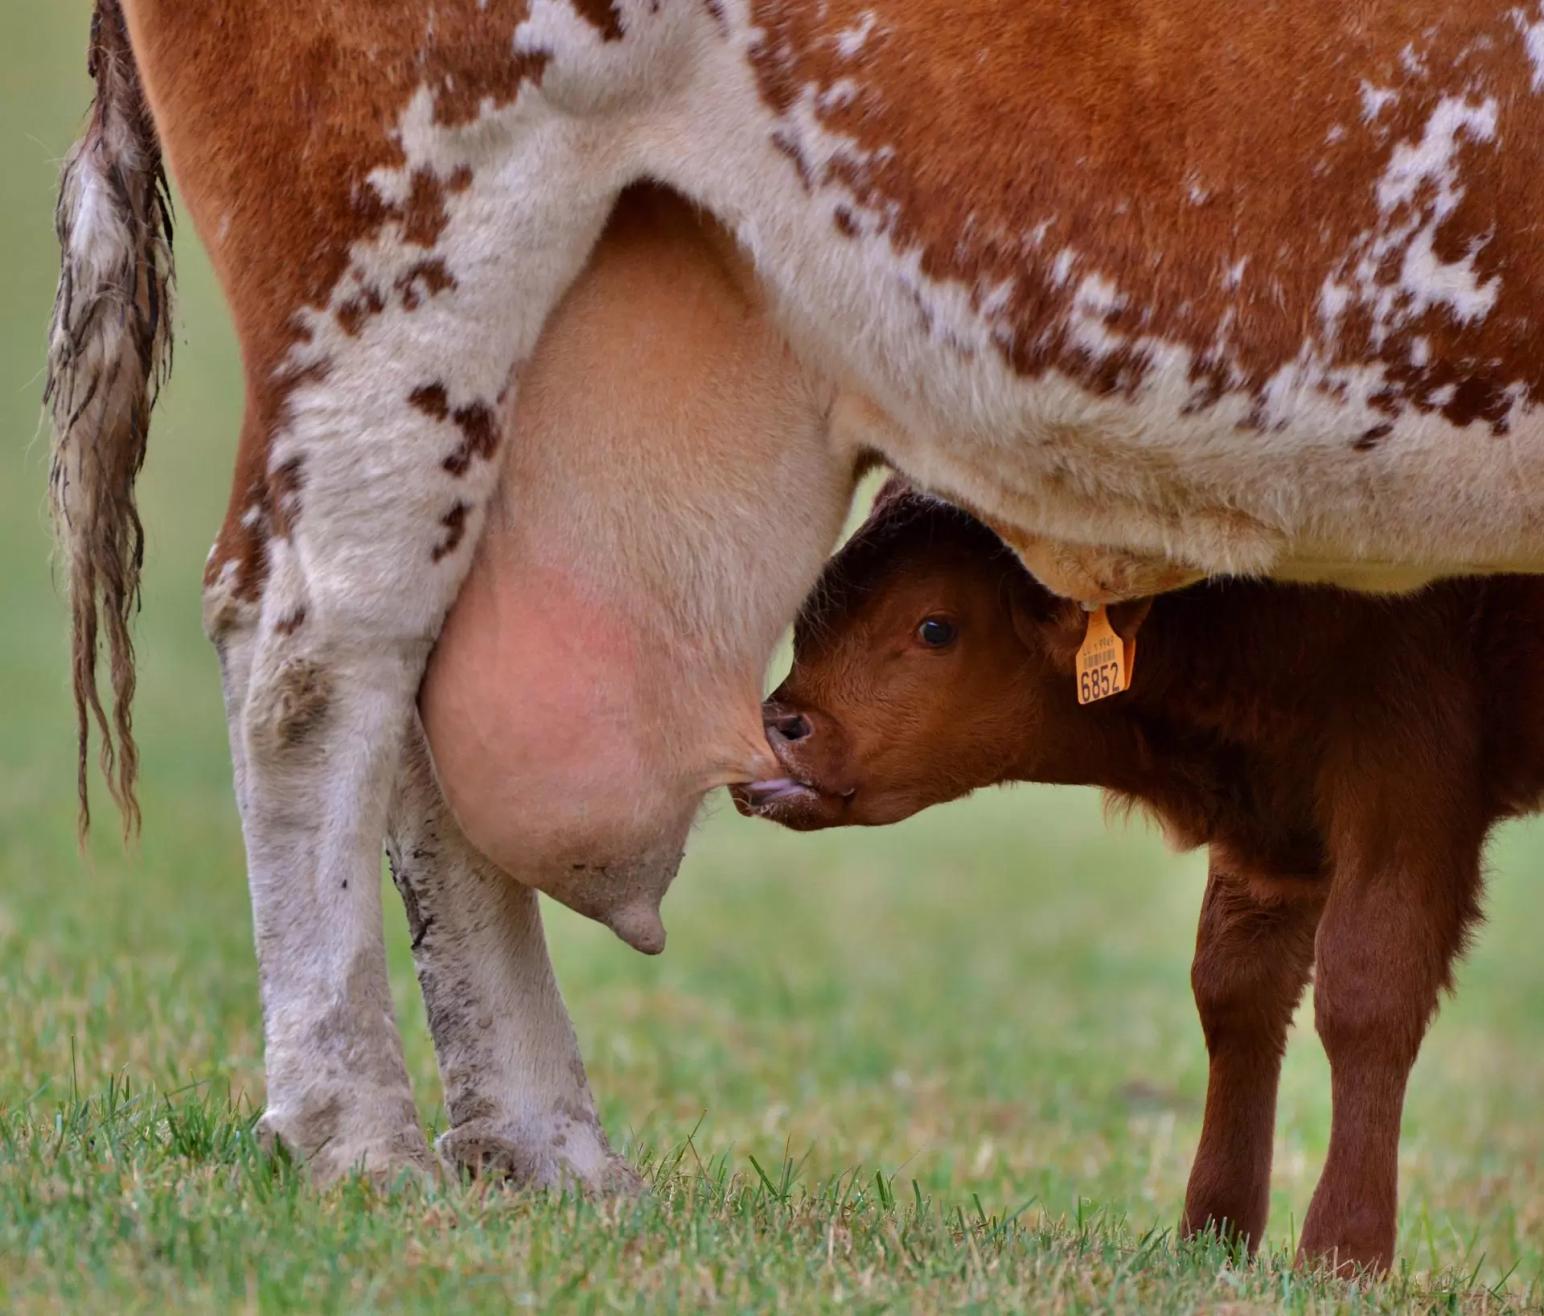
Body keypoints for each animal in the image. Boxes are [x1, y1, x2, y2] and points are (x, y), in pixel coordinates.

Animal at [731, 481, 1544, 1272]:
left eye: (935, 627)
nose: (776, 728)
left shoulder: (1406, 792)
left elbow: (1367, 993)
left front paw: (1345, 1252)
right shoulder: (1270, 836)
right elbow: (1235, 988)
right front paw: (1214, 1232)